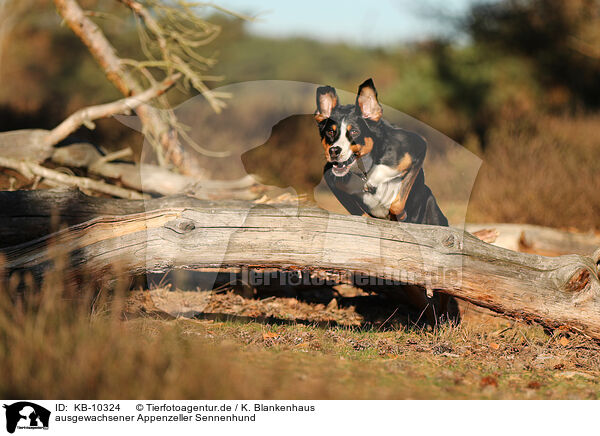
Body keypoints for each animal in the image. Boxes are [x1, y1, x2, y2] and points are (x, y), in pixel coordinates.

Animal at [314, 78, 450, 324]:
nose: (335, 150)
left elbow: (398, 198)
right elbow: (357, 210)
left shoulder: (417, 149)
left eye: (354, 131)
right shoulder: (332, 178)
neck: (365, 170)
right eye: (330, 132)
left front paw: (398, 215)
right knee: (419, 296)